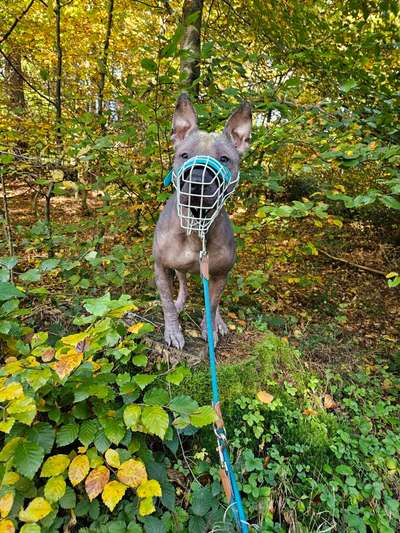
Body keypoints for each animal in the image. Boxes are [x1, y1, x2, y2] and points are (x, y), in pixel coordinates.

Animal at [152, 92, 252, 350]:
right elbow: (166, 302)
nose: (198, 179)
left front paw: (211, 328)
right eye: (184, 155)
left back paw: (219, 322)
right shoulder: (161, 267)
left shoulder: (220, 273)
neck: (196, 226)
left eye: (225, 159)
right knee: (184, 288)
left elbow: (213, 304)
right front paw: (173, 330)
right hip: (179, 269)